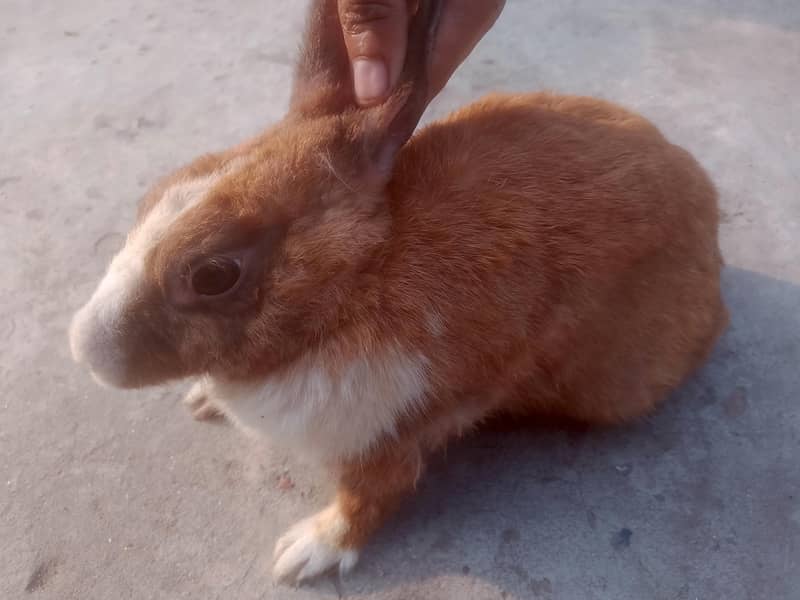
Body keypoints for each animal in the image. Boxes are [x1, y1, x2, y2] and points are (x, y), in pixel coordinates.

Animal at [69, 0, 728, 585]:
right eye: (155, 193)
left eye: (213, 274)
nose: (84, 349)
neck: (356, 285)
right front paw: (202, 400)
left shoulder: (388, 439)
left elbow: (367, 503)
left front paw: (302, 555)